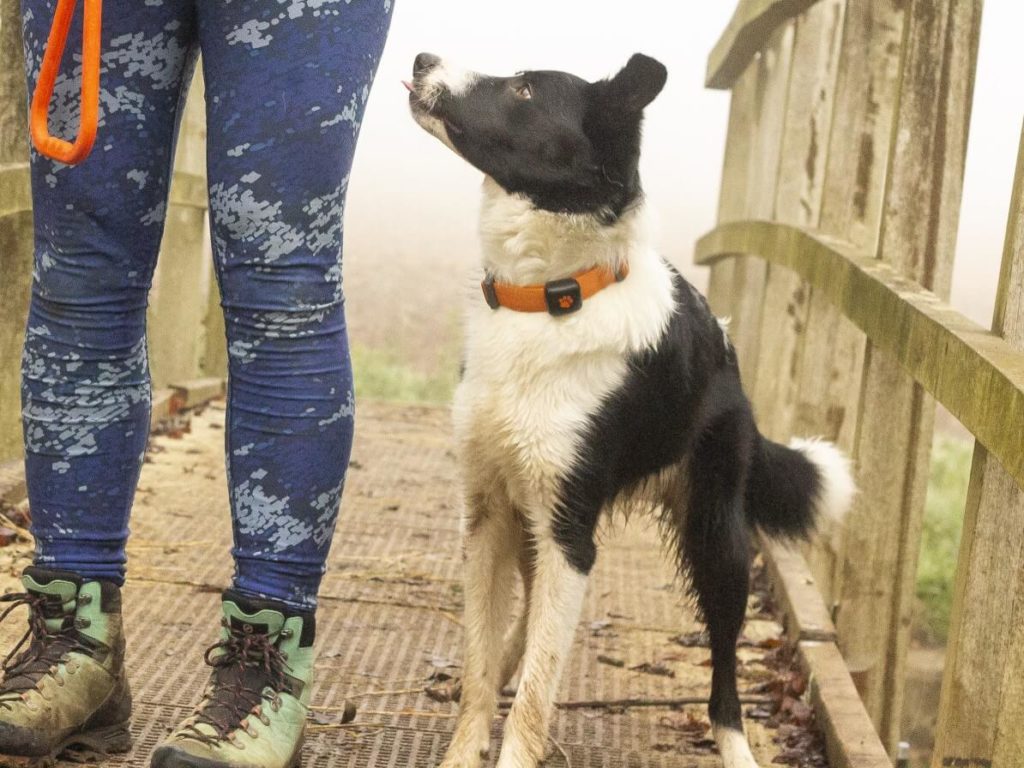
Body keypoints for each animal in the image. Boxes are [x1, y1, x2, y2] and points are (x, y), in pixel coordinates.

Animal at [403, 52, 851, 768]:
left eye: (524, 89)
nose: (422, 58)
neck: (545, 297)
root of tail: (729, 353)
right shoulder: (490, 512)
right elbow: (481, 665)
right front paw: (467, 740)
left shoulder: (569, 530)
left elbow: (539, 689)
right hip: (538, 525)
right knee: (526, 625)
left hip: (717, 538)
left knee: (724, 669)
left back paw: (735, 744)